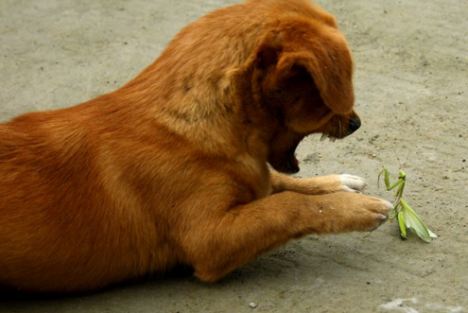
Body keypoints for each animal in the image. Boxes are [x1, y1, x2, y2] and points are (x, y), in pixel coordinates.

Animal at [0, 0, 392, 292]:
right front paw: (354, 208)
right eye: (324, 99)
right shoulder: (209, 238)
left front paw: (338, 185)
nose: (356, 123)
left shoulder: (254, 177)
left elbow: (281, 184)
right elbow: (287, 205)